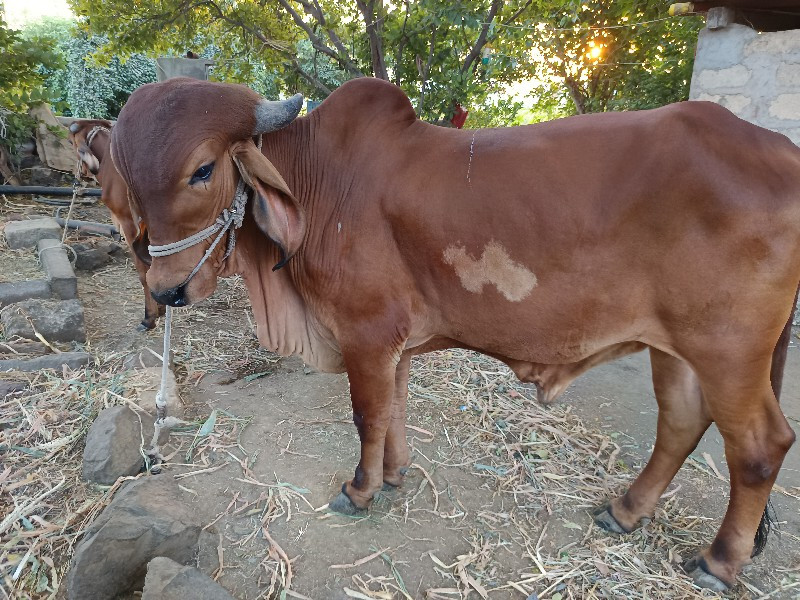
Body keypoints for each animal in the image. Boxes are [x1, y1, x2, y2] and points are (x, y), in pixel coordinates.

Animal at [112, 78, 800, 592]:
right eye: (132, 183)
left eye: (203, 170)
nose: (167, 290)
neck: (321, 183)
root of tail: (781, 151)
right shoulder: (396, 344)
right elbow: (394, 410)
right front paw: (394, 475)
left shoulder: (366, 333)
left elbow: (367, 413)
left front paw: (360, 490)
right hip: (676, 349)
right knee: (681, 423)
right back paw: (625, 512)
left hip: (728, 351)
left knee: (760, 447)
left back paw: (717, 562)